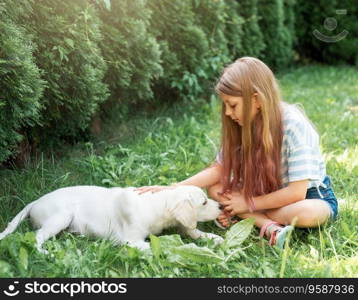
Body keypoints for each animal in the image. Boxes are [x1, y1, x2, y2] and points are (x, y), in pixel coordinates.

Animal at [0, 185, 224, 253]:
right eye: (204, 202)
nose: (222, 206)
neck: (156, 205)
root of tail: (34, 202)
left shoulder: (179, 223)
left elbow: (192, 231)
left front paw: (213, 238)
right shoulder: (130, 240)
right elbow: (156, 245)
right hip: (61, 216)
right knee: (36, 237)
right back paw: (45, 253)